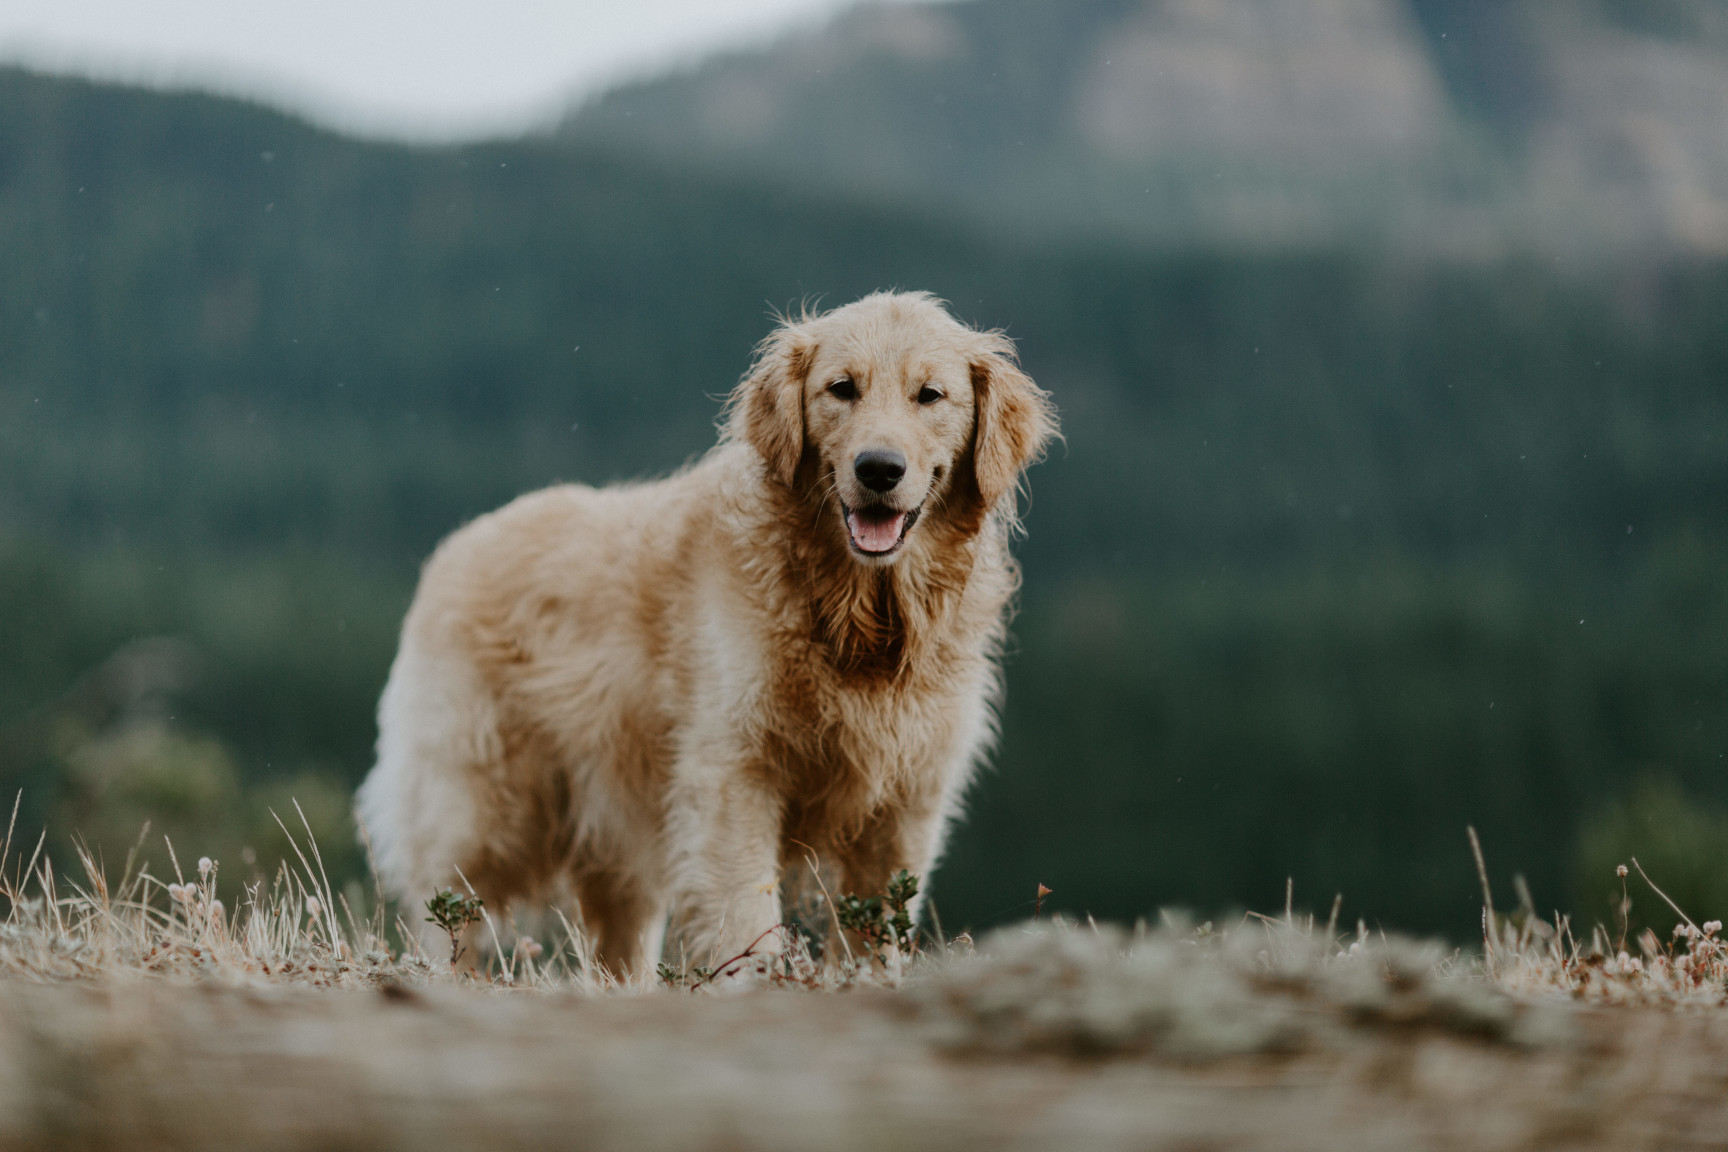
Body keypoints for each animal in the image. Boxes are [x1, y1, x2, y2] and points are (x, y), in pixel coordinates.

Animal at [359, 293, 1057, 981]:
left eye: (930, 395)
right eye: (841, 388)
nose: (879, 469)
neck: (852, 616)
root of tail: (456, 544)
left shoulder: (905, 804)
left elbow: (875, 935)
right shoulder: (732, 773)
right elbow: (746, 917)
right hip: (480, 818)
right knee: (447, 920)